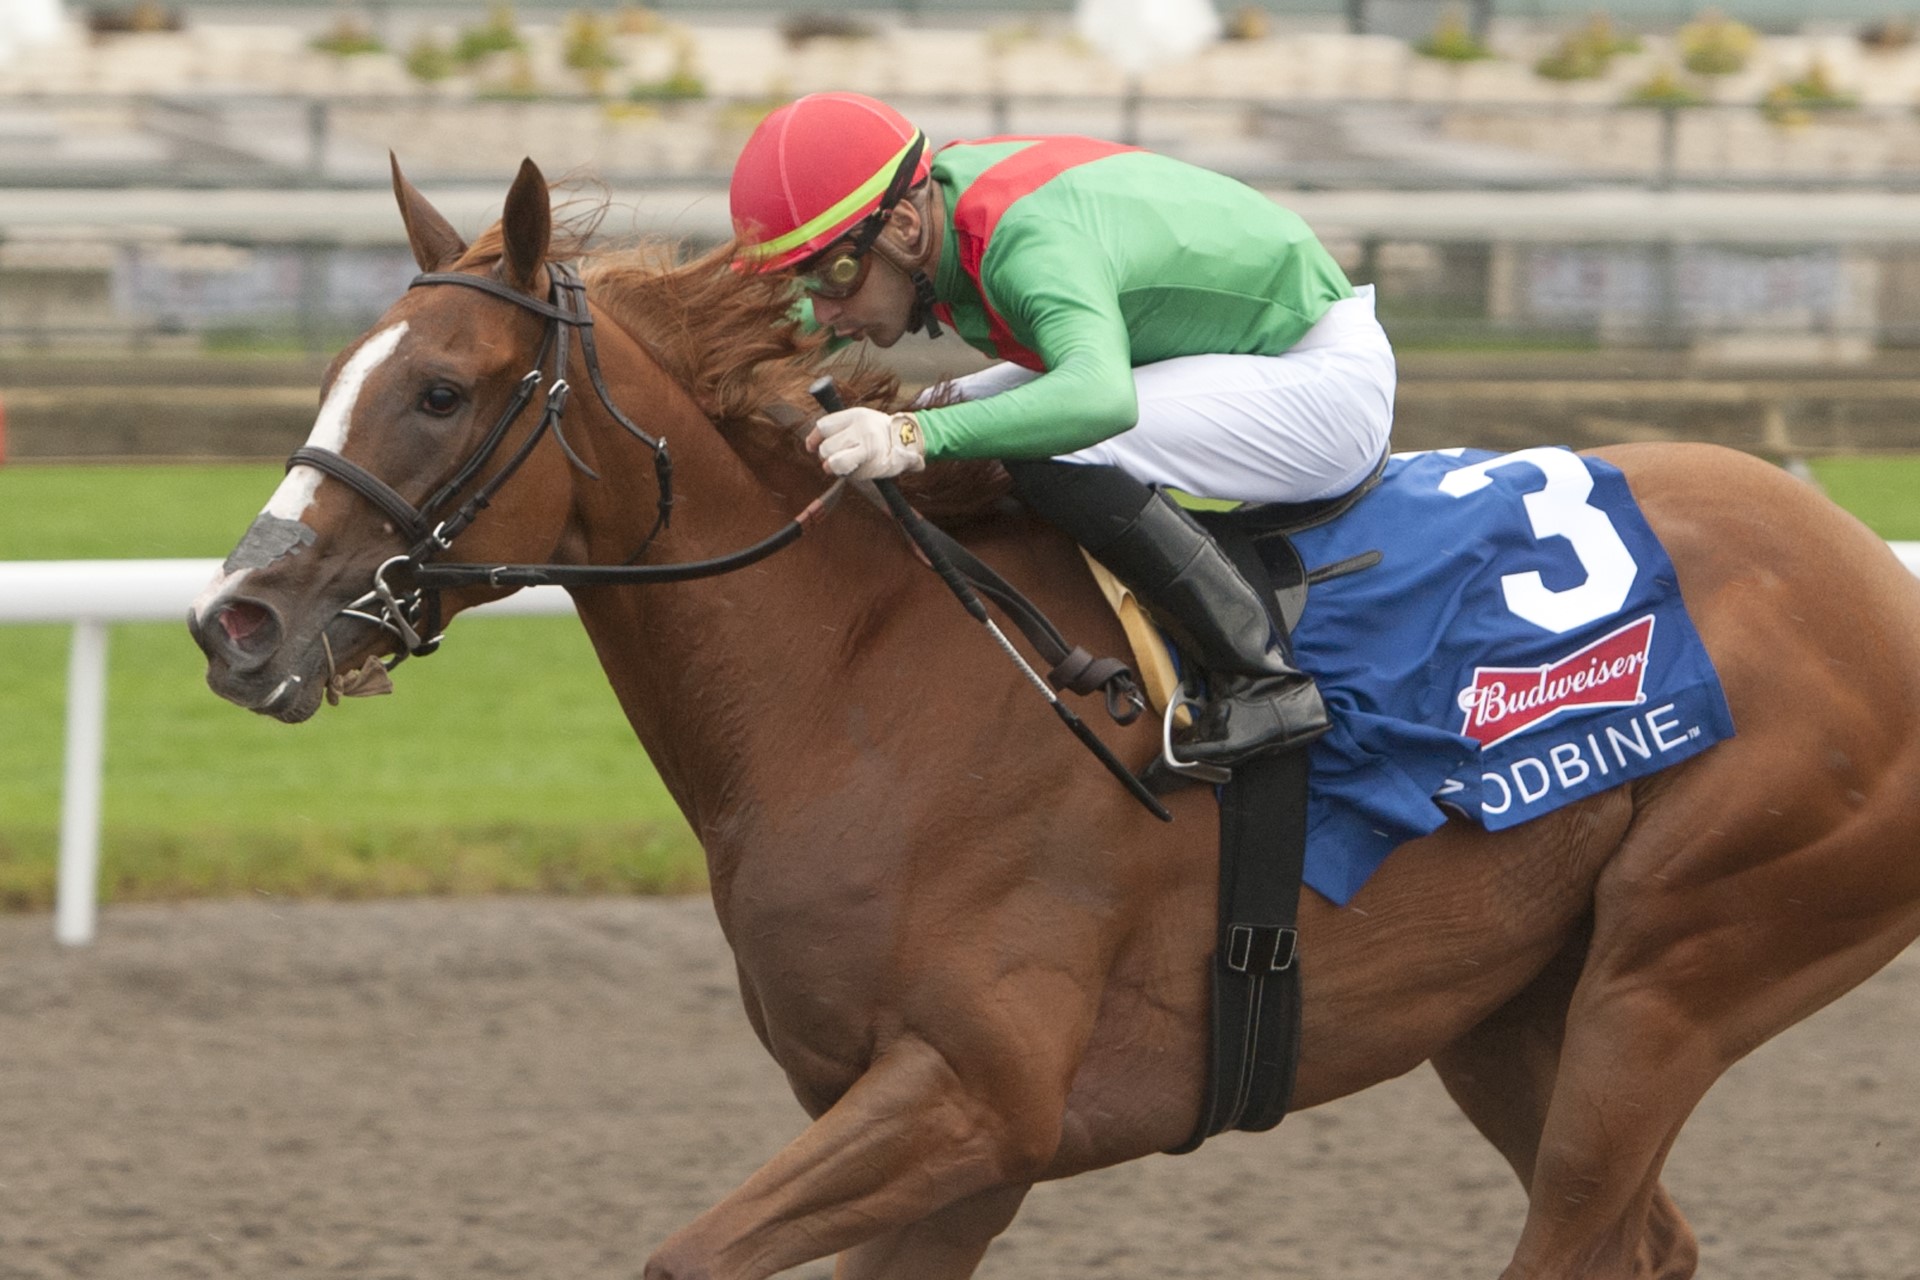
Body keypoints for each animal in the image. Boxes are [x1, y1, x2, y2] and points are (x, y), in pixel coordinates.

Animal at [191, 163, 1920, 1280]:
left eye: (439, 390)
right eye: (343, 369)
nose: (236, 622)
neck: (859, 687)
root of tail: (1866, 570)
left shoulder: (978, 1098)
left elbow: (684, 1258)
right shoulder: (922, 1145)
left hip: (1679, 970)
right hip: (1510, 1012)